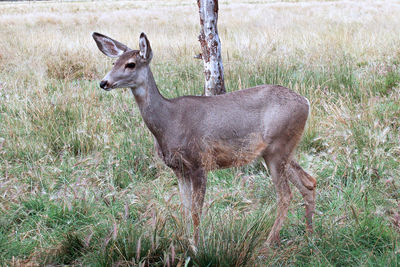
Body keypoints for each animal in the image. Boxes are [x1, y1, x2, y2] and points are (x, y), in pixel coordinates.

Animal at [93, 32, 316, 248]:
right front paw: (184, 242)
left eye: (130, 64)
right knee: (309, 182)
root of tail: (306, 102)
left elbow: (195, 211)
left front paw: (197, 247)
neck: (168, 122)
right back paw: (308, 236)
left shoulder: (198, 163)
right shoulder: (179, 169)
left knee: (286, 194)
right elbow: (184, 208)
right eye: (114, 62)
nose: (104, 83)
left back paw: (269, 242)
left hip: (278, 148)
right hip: (280, 151)